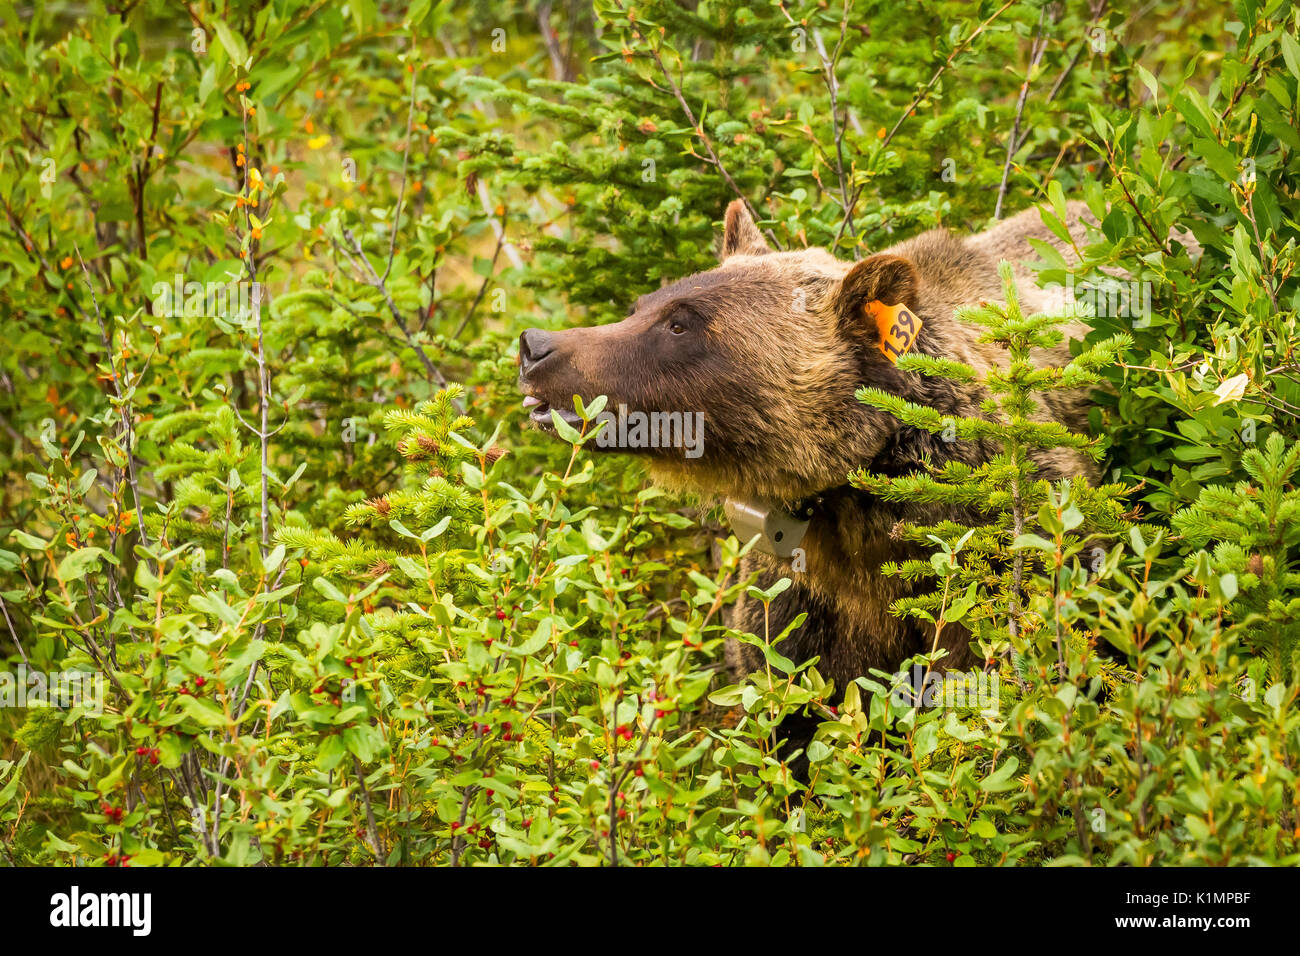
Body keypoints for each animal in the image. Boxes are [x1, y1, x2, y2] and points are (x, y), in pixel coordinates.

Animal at [517, 204, 1097, 770]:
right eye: (642, 305)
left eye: (680, 323)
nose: (535, 345)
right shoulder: (801, 598)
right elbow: (789, 714)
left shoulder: (994, 559)